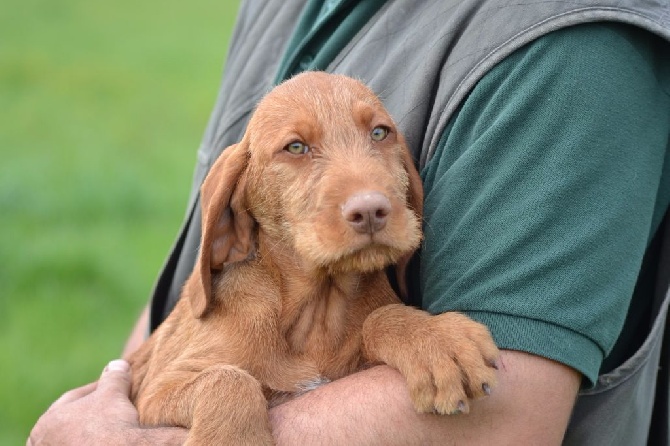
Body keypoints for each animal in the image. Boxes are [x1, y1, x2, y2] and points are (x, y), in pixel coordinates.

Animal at [130, 71, 498, 444]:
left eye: (380, 132)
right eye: (296, 147)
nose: (370, 210)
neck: (315, 312)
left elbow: (380, 316)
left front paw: (434, 339)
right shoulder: (155, 391)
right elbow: (229, 379)